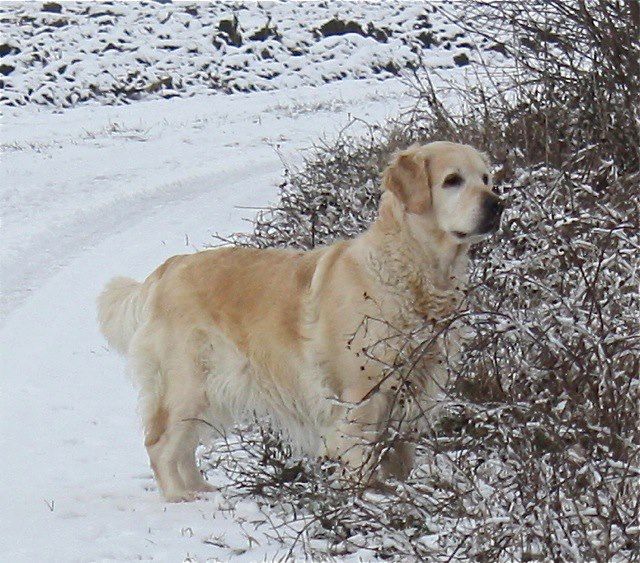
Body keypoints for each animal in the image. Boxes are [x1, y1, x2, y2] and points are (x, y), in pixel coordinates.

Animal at [98, 141, 504, 501]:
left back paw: (200, 489)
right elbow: (360, 459)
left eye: (486, 179)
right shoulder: (361, 396)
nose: (497, 204)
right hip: (190, 383)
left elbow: (399, 456)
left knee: (182, 446)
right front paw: (362, 503)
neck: (413, 269)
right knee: (160, 443)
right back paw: (179, 496)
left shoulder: (415, 391)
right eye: (452, 180)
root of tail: (167, 269)